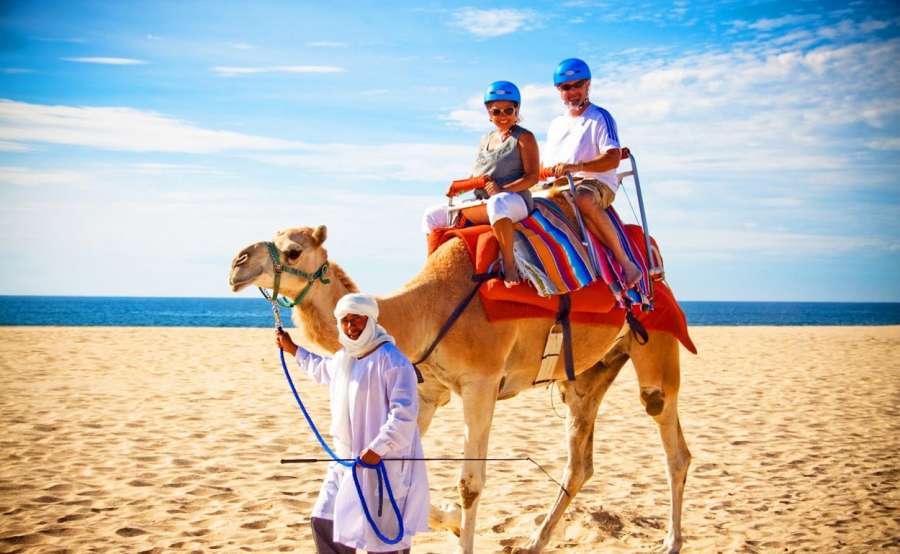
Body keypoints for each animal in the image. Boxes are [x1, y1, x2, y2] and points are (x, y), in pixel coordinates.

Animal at [228, 222, 691, 554]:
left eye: (293, 250)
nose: (237, 262)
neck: (425, 312)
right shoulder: (428, 390)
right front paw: (448, 521)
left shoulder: (481, 383)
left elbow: (470, 484)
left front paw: (457, 524)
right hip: (585, 377)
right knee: (579, 462)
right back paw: (533, 543)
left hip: (655, 338)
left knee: (671, 442)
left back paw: (671, 543)